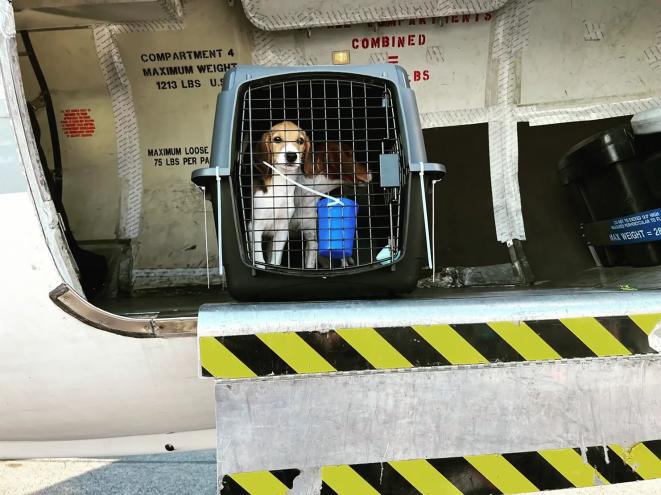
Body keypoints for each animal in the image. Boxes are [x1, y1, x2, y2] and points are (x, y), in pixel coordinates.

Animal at [249, 121, 310, 266]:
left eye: (300, 141)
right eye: (277, 139)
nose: (291, 156)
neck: (280, 186)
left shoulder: (282, 230)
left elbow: (275, 260)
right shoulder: (254, 227)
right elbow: (260, 259)